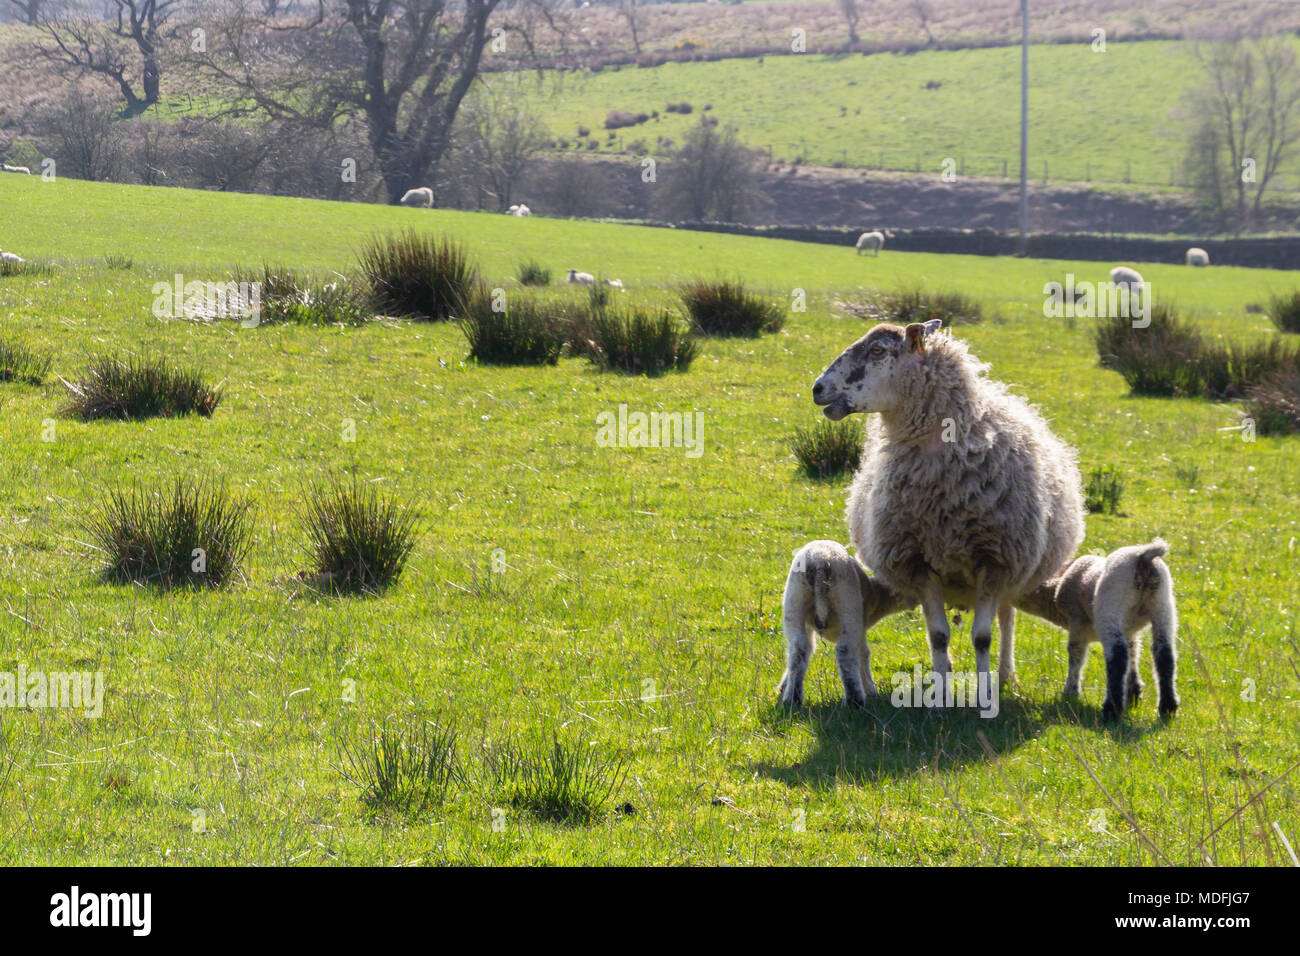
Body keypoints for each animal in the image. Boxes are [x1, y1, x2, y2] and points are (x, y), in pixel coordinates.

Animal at [777, 541, 911, 707]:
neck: (875, 598)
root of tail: (820, 561)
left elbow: (809, 648)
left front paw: (783, 686)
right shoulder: (861, 628)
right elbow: (863, 654)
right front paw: (871, 691)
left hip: (795, 599)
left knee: (798, 649)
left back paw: (792, 698)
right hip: (848, 604)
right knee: (845, 651)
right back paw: (854, 700)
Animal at [814, 320, 1086, 707]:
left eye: (878, 350)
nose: (817, 389)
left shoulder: (995, 560)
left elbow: (984, 637)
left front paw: (987, 695)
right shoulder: (917, 563)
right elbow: (939, 636)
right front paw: (941, 695)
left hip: (1015, 567)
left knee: (1007, 617)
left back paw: (1005, 674)